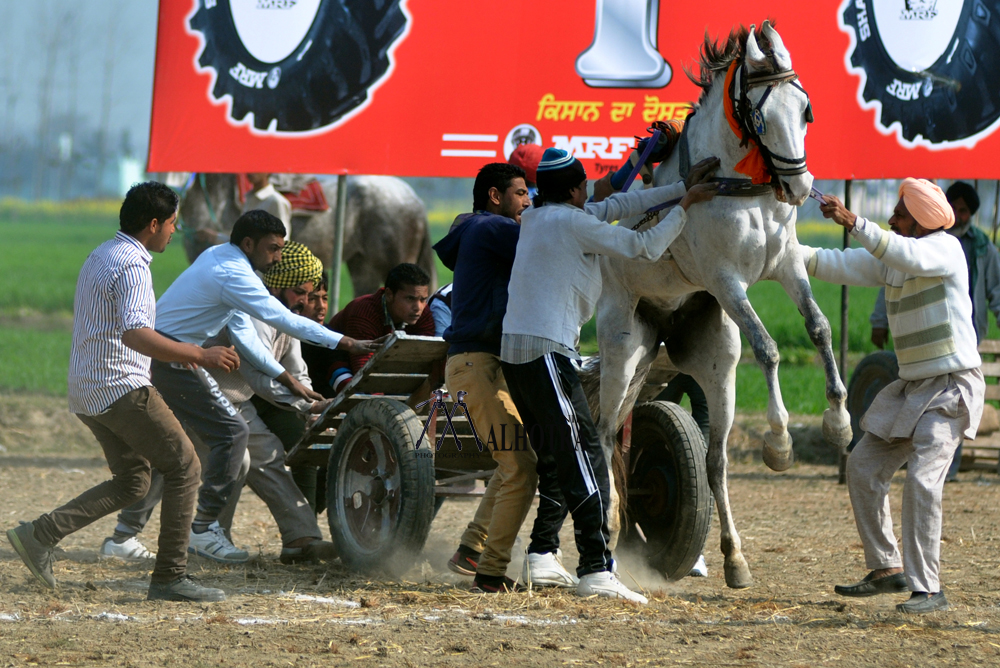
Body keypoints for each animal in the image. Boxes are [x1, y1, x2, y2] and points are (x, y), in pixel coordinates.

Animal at [592, 20, 852, 588]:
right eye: (760, 115)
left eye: (806, 109)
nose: (799, 186)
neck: (741, 186)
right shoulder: (726, 280)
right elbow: (770, 347)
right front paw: (780, 443)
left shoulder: (787, 263)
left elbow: (819, 327)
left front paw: (839, 421)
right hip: (622, 351)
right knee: (600, 431)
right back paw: (612, 523)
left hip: (713, 362)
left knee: (713, 459)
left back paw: (734, 557)